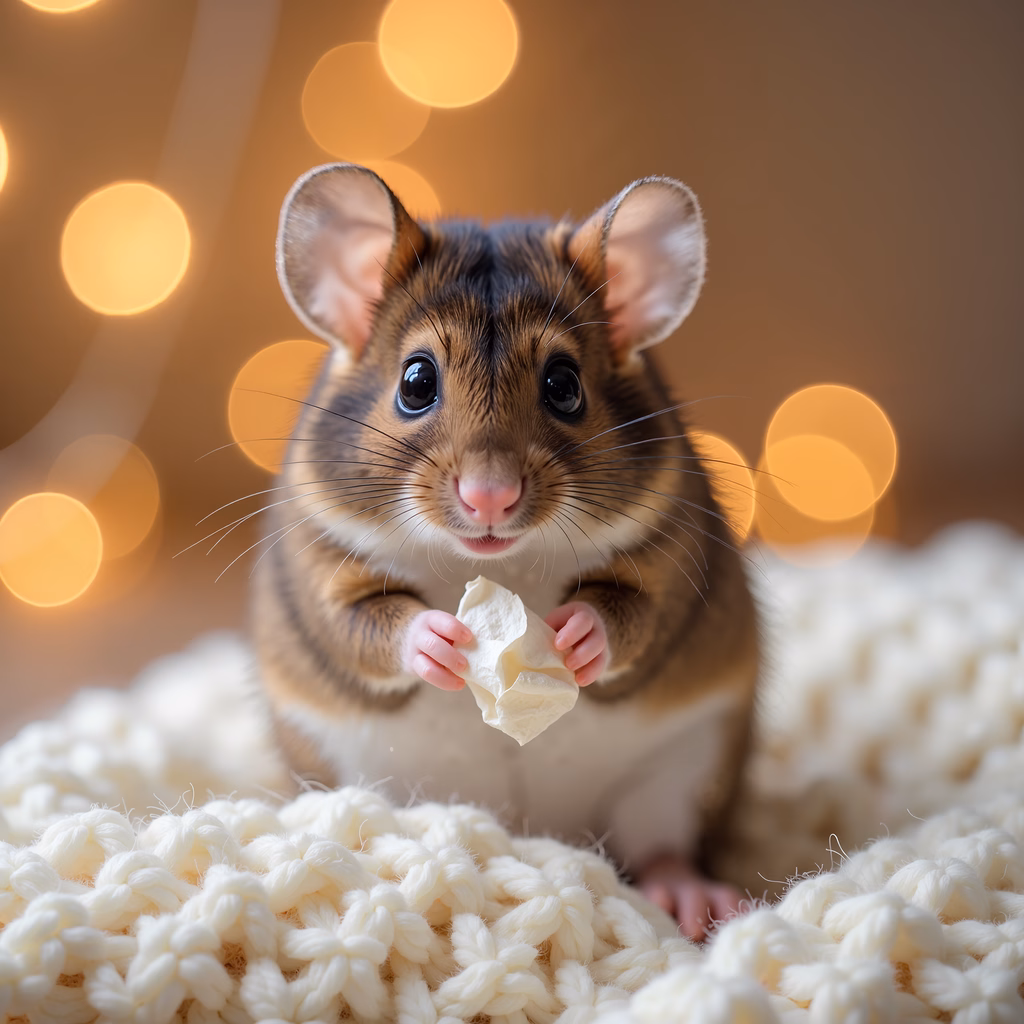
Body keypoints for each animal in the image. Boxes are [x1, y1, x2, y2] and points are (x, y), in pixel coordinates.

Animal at [251, 163, 760, 940]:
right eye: (416, 381)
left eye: (564, 385)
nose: (488, 496)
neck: (494, 564)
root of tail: (540, 833)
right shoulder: (323, 564)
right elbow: (367, 622)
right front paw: (440, 639)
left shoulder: (671, 554)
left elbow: (632, 611)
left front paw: (576, 636)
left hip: (681, 769)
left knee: (661, 841)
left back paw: (692, 899)